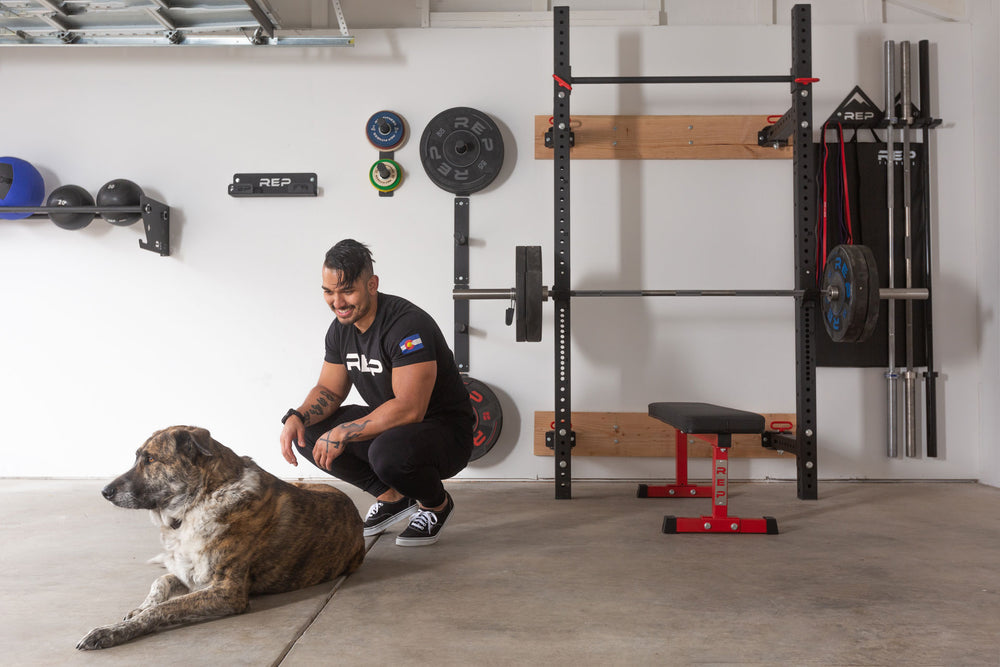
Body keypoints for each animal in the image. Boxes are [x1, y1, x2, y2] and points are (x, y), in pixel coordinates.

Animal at [75, 426, 364, 648]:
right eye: (137, 458)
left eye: (150, 460)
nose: (105, 491)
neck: (199, 501)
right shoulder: (190, 575)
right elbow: (161, 582)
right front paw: (140, 607)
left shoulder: (226, 591)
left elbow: (165, 608)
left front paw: (111, 631)